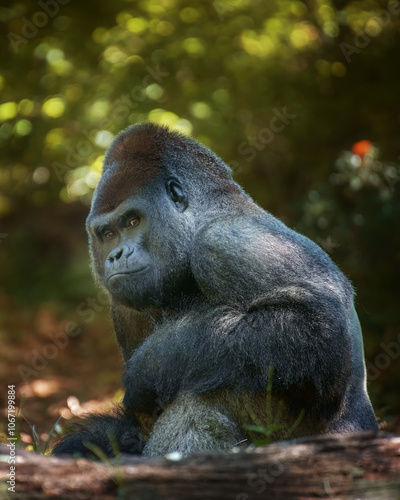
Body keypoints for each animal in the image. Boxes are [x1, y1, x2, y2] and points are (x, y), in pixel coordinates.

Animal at [54, 122, 378, 458]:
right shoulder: (124, 306)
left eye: (132, 221)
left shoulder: (225, 241)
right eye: (107, 233)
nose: (115, 255)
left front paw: (155, 362)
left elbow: (320, 333)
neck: (204, 214)